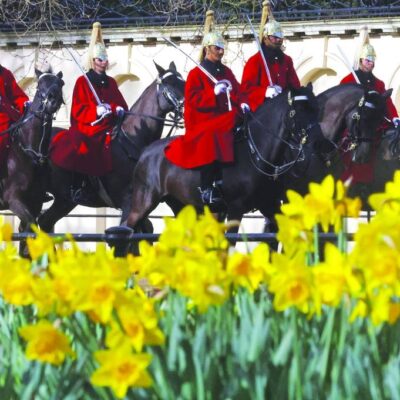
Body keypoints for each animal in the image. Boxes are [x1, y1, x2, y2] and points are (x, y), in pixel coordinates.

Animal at [0, 69, 63, 234]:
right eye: (39, 84)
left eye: (60, 83)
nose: (53, 102)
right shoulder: (13, 200)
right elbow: (30, 224)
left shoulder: (35, 202)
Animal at [37, 61, 184, 233]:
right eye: (169, 84)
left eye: (183, 81)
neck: (131, 141)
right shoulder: (128, 202)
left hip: (64, 201)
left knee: (45, 222)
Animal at [123, 86, 324, 233]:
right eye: (298, 111)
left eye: (316, 109)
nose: (322, 145)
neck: (254, 152)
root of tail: (146, 151)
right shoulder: (235, 208)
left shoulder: (269, 204)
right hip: (143, 203)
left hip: (180, 205)